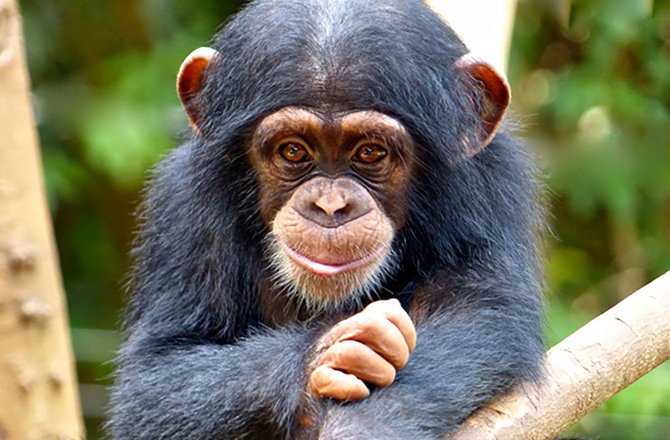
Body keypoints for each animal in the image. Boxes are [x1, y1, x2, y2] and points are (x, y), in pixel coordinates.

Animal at [108, 1, 545, 439]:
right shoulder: (182, 203)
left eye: (370, 152)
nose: (331, 206)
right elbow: (156, 373)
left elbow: (476, 312)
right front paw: (327, 354)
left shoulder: (491, 187)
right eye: (293, 151)